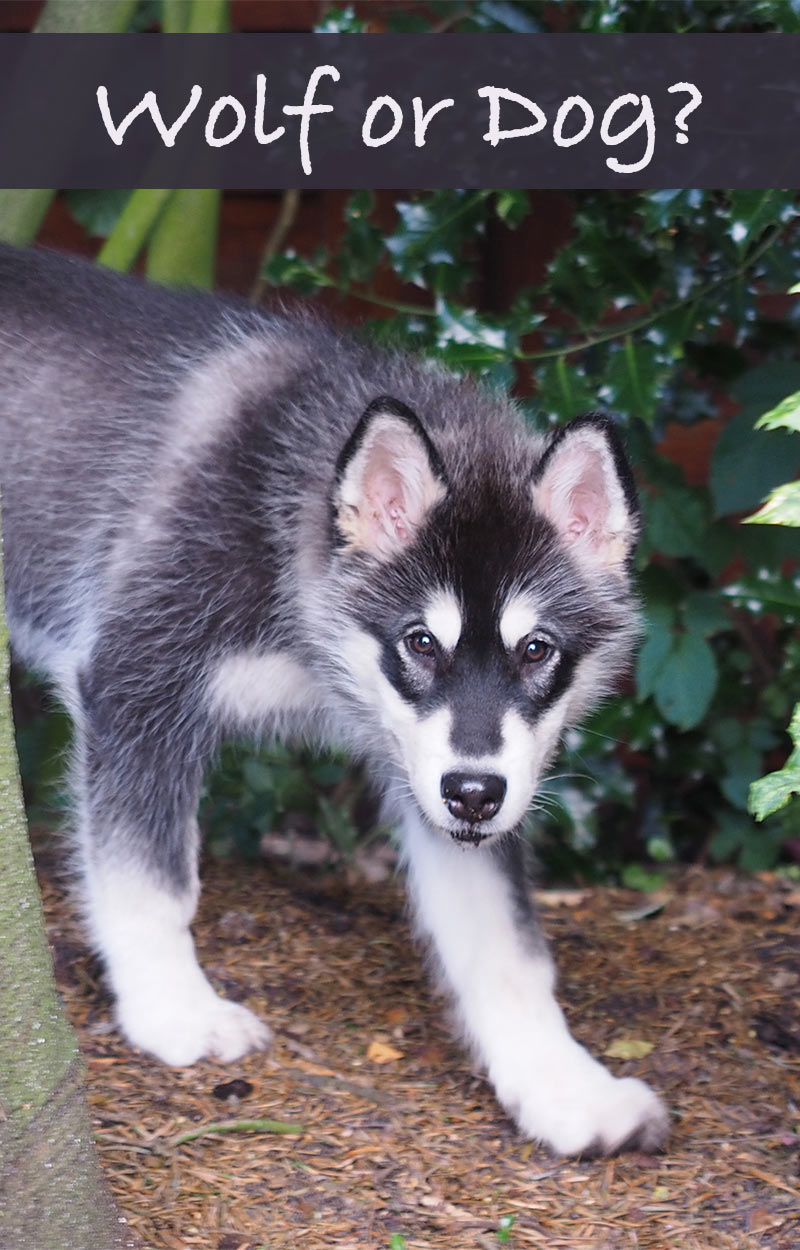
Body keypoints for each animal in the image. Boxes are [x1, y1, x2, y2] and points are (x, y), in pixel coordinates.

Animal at [0, 243, 670, 1150]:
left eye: (537, 651)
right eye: (420, 642)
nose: (474, 795)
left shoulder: (442, 772)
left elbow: (508, 948)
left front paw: (561, 1085)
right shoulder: (138, 680)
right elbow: (152, 881)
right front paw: (174, 1013)